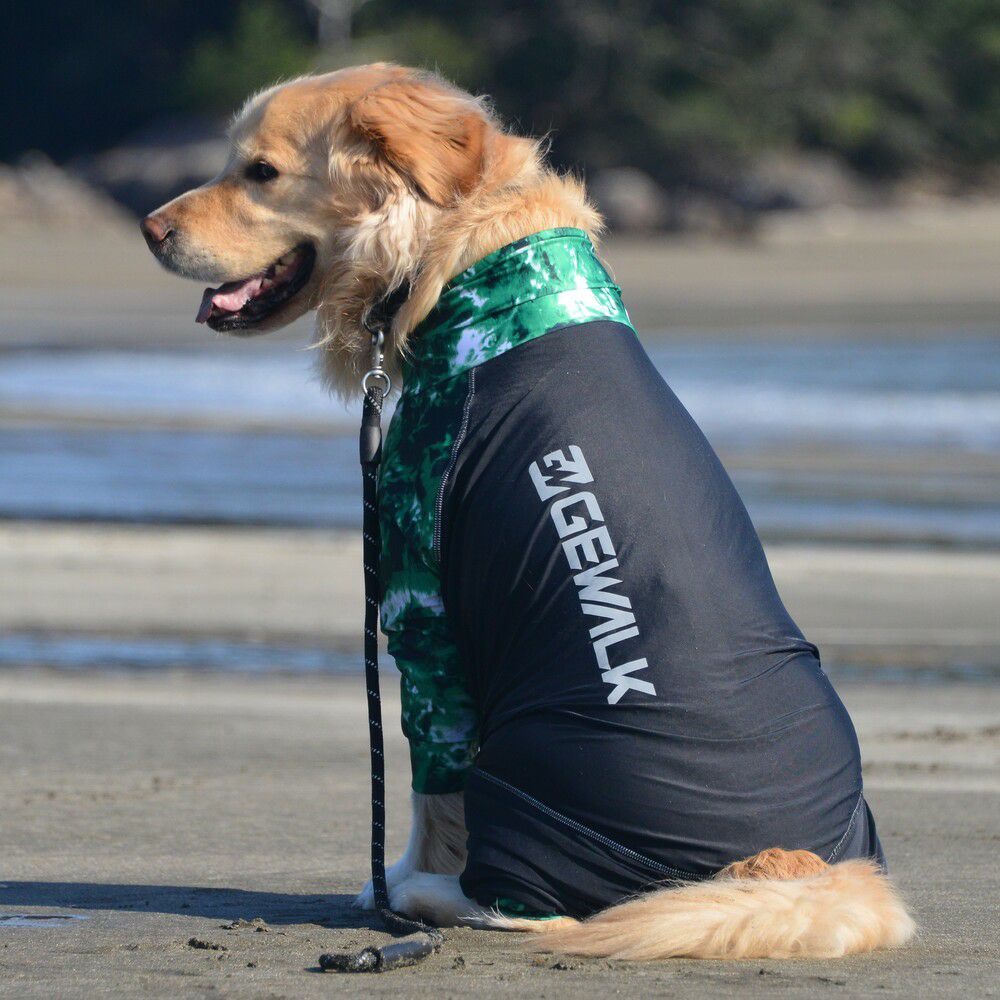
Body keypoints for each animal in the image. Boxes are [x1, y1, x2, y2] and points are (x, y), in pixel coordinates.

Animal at [141, 63, 915, 960]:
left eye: (259, 171)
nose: (148, 228)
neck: (463, 261)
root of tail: (788, 861)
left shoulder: (421, 608)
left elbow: (426, 788)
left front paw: (397, 878)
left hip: (523, 762)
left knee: (539, 909)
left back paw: (433, 899)